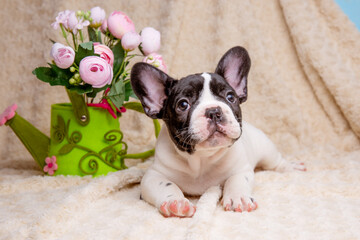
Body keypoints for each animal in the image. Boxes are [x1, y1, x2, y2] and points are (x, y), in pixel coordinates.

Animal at [131, 46, 306, 218]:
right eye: (183, 104)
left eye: (230, 97)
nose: (214, 111)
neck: (202, 159)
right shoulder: (153, 176)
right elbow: (166, 185)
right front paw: (176, 202)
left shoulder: (241, 169)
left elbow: (236, 180)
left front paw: (239, 198)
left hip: (265, 147)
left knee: (276, 162)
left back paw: (291, 167)